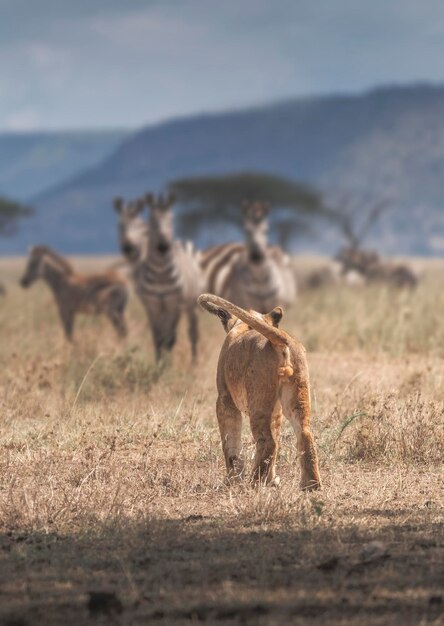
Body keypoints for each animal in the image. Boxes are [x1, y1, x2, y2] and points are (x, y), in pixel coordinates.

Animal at [114, 193, 205, 364]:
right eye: (120, 226)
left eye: (171, 220)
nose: (163, 246)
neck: (160, 273)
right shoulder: (152, 304)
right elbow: (157, 337)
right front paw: (158, 363)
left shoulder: (173, 303)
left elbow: (170, 338)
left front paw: (167, 365)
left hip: (191, 302)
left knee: (193, 333)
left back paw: (194, 363)